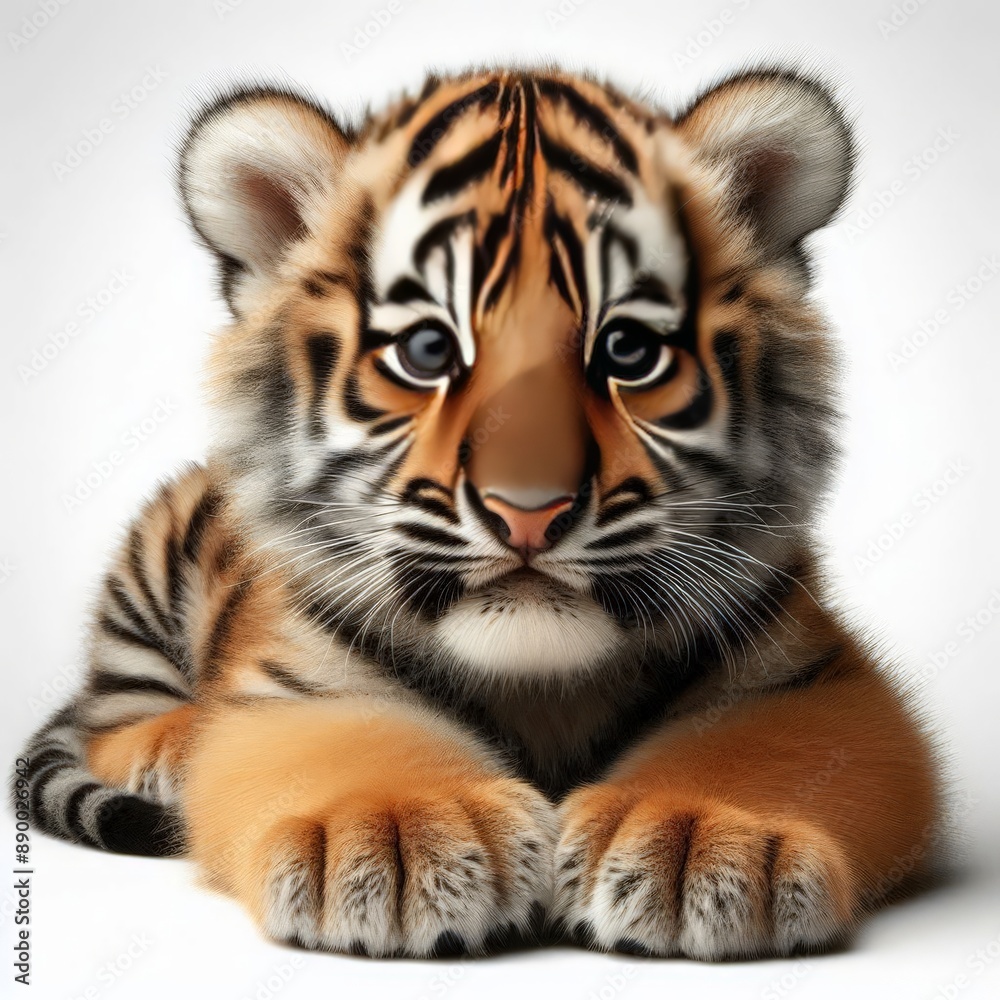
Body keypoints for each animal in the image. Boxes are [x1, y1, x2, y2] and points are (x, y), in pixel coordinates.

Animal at [13, 65, 941, 960]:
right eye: (428, 350)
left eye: (628, 351)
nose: (528, 511)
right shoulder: (299, 684)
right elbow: (354, 751)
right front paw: (397, 839)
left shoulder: (814, 678)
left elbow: (759, 754)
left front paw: (698, 840)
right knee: (109, 719)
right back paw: (172, 747)